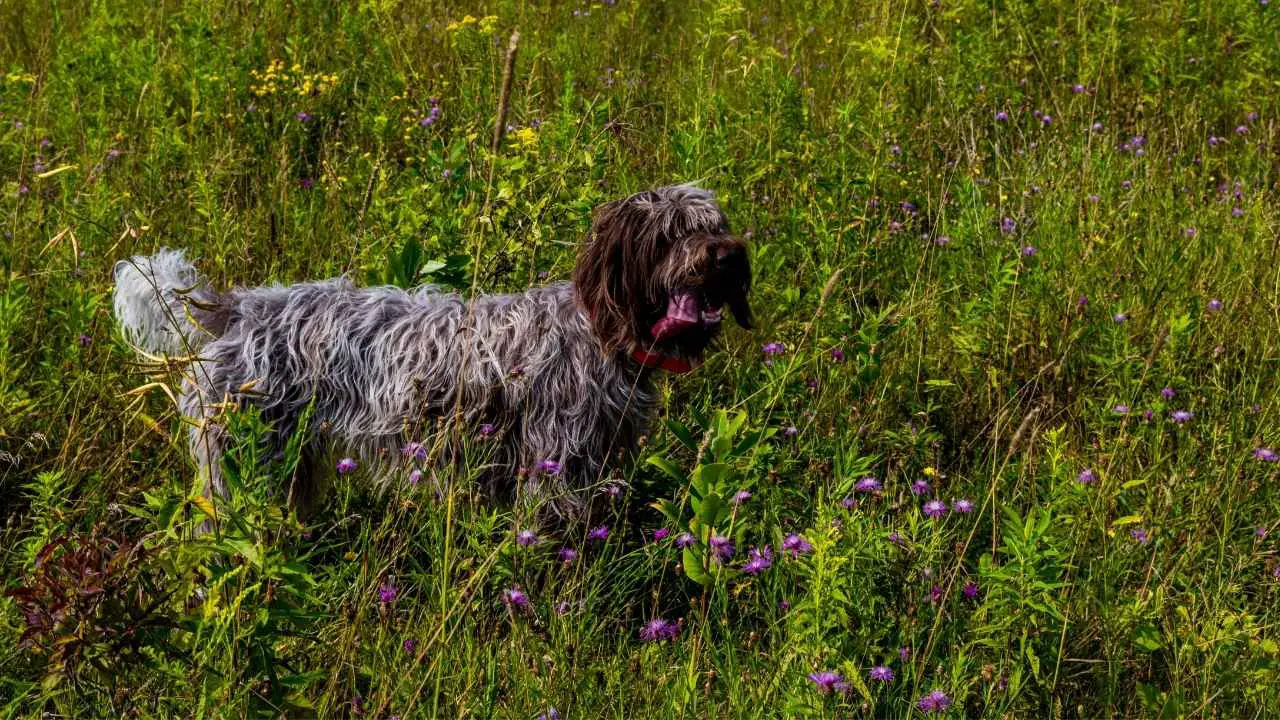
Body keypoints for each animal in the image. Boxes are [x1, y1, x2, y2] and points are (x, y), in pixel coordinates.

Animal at [112, 181, 747, 520]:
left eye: (715, 224)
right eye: (671, 235)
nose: (728, 254)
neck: (600, 330)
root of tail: (234, 310)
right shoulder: (554, 469)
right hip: (241, 465)